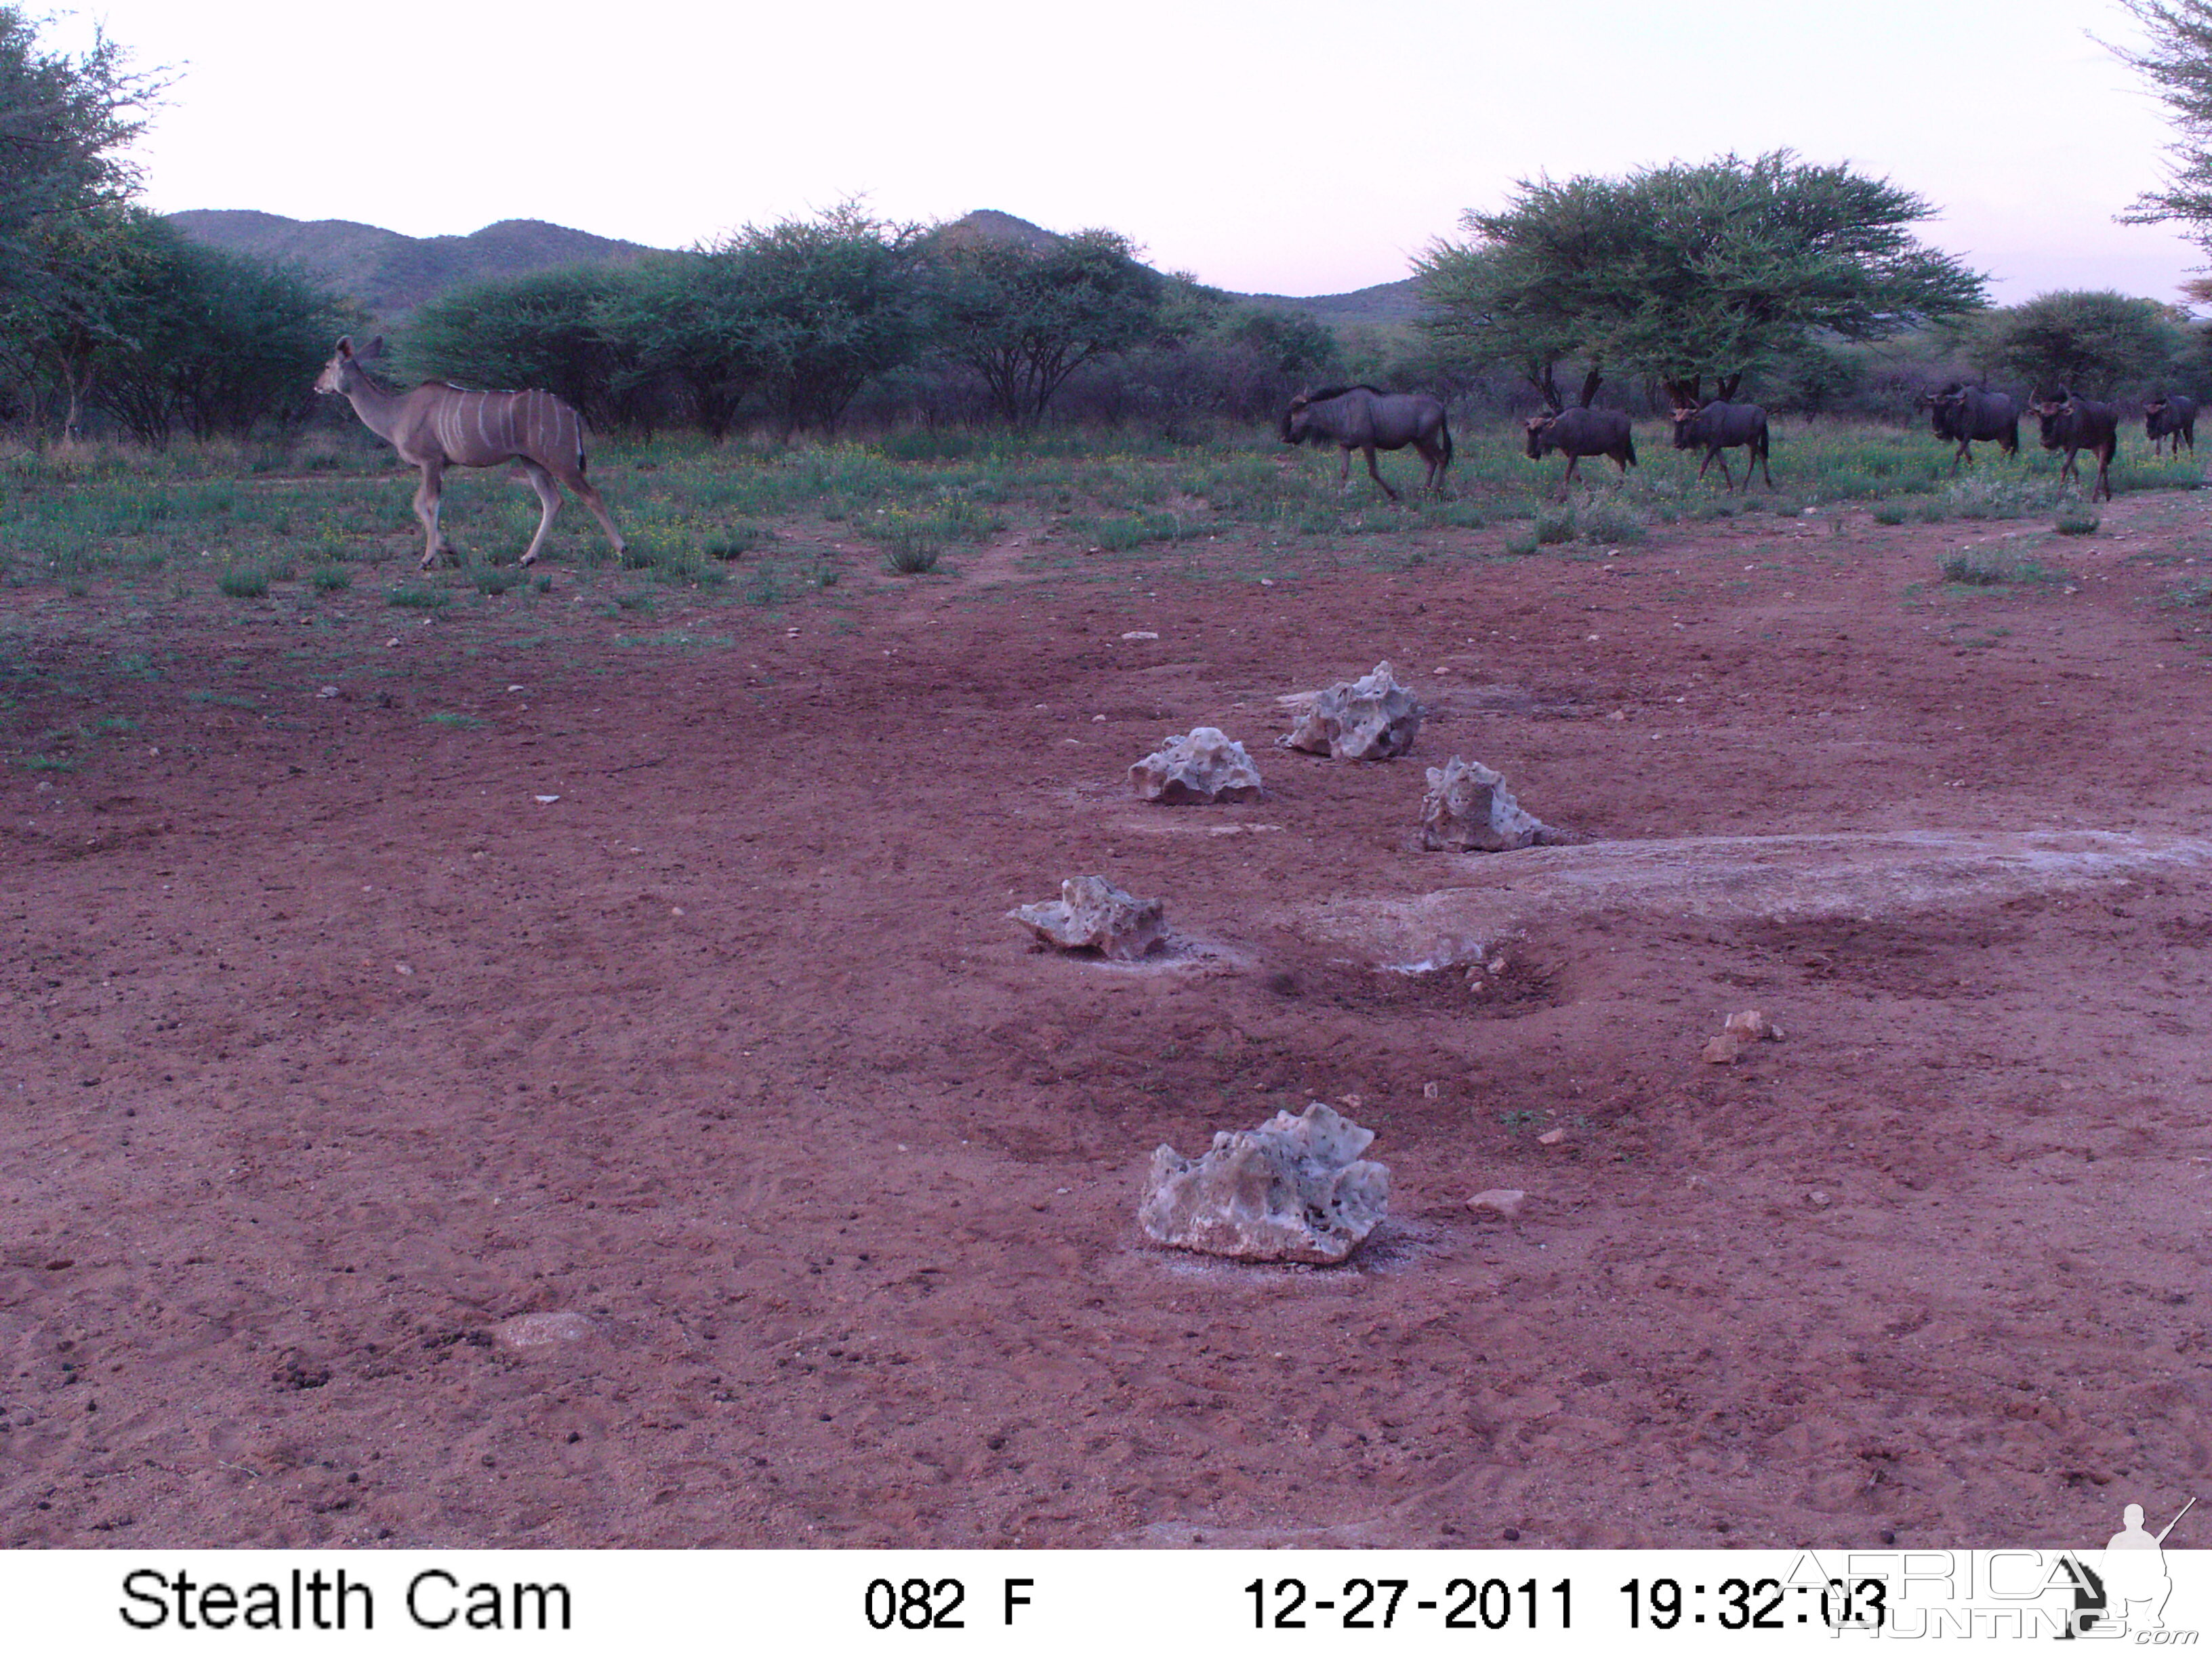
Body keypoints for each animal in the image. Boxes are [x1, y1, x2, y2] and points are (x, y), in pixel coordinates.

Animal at [1283, 384, 1451, 499]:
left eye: (1297, 410)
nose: (1288, 438)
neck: (1342, 410)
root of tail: (1441, 406)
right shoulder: (1345, 446)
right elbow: (1344, 471)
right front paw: (1340, 495)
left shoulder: (1367, 444)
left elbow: (1373, 472)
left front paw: (1393, 494)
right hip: (1418, 442)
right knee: (1430, 463)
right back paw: (1424, 491)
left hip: (1428, 439)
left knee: (1442, 457)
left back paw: (1436, 491)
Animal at [1530, 407, 1637, 499]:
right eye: (1531, 432)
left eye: (1541, 431)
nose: (1532, 453)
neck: (1563, 427)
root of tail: (1628, 420)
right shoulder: (1570, 454)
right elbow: (1577, 475)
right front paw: (1590, 491)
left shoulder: (1574, 452)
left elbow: (1568, 474)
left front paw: (1563, 496)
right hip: (1611, 451)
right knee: (1622, 464)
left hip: (1620, 448)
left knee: (1623, 464)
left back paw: (1618, 486)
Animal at [1663, 403, 1769, 493]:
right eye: (1675, 421)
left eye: (1687, 420)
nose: (1677, 444)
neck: (1707, 420)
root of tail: (1764, 413)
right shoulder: (1715, 446)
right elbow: (1724, 464)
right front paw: (1730, 486)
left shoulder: (1713, 446)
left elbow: (1704, 464)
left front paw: (1697, 485)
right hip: (1749, 442)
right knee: (1762, 455)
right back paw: (1769, 482)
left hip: (1753, 440)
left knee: (1753, 460)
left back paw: (1745, 485)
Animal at [1929, 382, 2017, 468]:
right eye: (1934, 410)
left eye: (1948, 411)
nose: (1938, 433)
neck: (1961, 410)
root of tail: (2013, 405)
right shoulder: (1961, 437)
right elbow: (1968, 456)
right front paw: (1971, 470)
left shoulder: (1967, 435)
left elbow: (1958, 453)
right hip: (2001, 436)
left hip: (2006, 435)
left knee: (2006, 449)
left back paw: (2001, 465)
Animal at [2026, 393, 2114, 504]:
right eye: (2040, 416)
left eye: (2056, 415)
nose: (2046, 442)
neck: (2068, 423)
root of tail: (2112, 412)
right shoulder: (2066, 448)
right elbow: (2074, 470)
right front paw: (2080, 496)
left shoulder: (2074, 446)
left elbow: (2064, 468)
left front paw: (2058, 496)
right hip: (2095, 446)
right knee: (2105, 464)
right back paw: (2108, 495)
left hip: (2105, 443)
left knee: (2101, 466)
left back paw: (2095, 496)